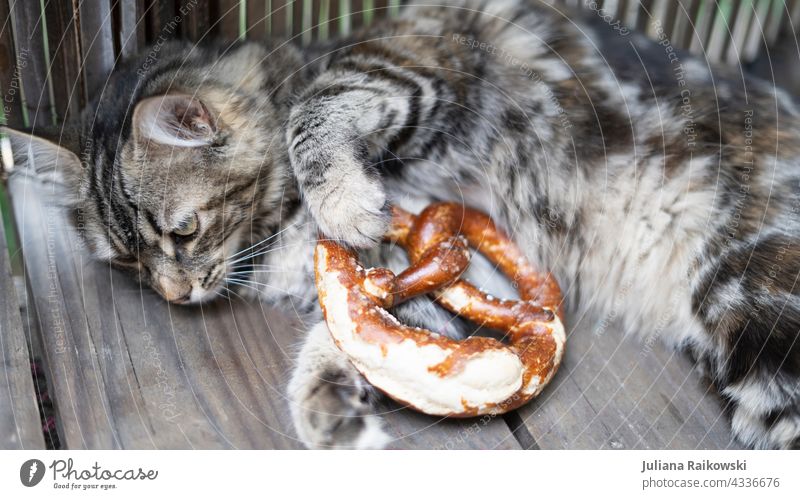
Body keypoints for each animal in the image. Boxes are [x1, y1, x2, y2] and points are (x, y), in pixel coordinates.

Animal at [6, 0, 800, 452]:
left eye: (182, 231)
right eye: (127, 261)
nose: (173, 295)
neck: (277, 234)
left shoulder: (416, 56)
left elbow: (317, 108)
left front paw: (345, 202)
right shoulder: (427, 287)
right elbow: (355, 335)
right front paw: (331, 410)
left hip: (761, 310)